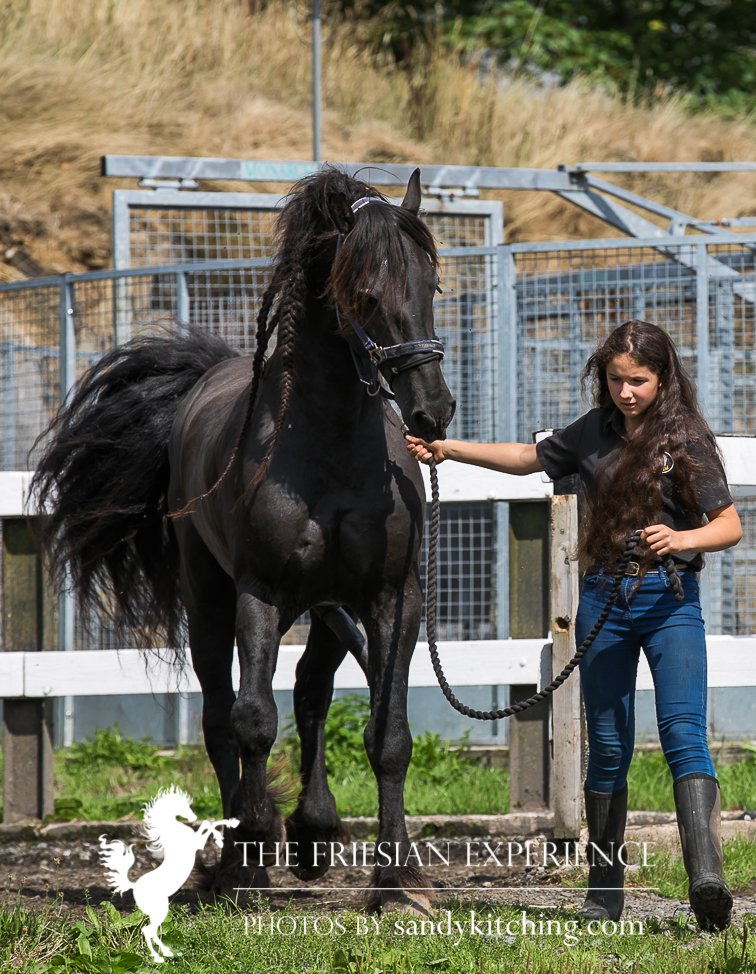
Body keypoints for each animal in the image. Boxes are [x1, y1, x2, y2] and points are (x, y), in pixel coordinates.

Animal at [32, 166, 456, 914]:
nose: (433, 413)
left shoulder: (390, 598)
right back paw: (241, 854)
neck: (331, 449)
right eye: (366, 295)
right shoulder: (260, 593)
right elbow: (253, 719)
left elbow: (388, 735)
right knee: (219, 712)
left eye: (430, 286)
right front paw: (252, 852)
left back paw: (315, 834)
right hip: (211, 599)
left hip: (325, 608)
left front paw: (397, 879)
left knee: (313, 692)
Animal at [99, 786, 238, 962]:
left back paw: (166, 952)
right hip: (160, 909)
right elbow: (206, 826)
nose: (194, 817)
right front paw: (221, 835)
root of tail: (134, 886)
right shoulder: (195, 844)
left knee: (151, 930)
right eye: (184, 806)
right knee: (148, 930)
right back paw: (159, 956)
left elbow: (207, 824)